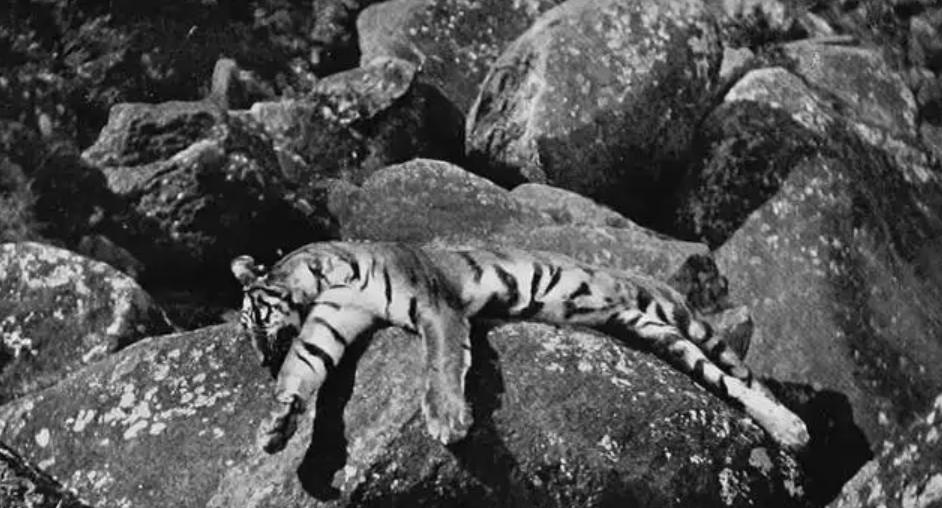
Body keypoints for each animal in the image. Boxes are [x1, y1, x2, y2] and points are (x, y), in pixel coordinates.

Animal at [230, 241, 810, 455]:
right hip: (651, 331)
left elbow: (441, 363)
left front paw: (448, 420)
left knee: (740, 376)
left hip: (683, 320)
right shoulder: (330, 324)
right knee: (722, 381)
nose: (258, 361)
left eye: (255, 319)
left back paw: (792, 428)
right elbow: (303, 370)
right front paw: (275, 426)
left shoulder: (437, 306)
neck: (326, 277)